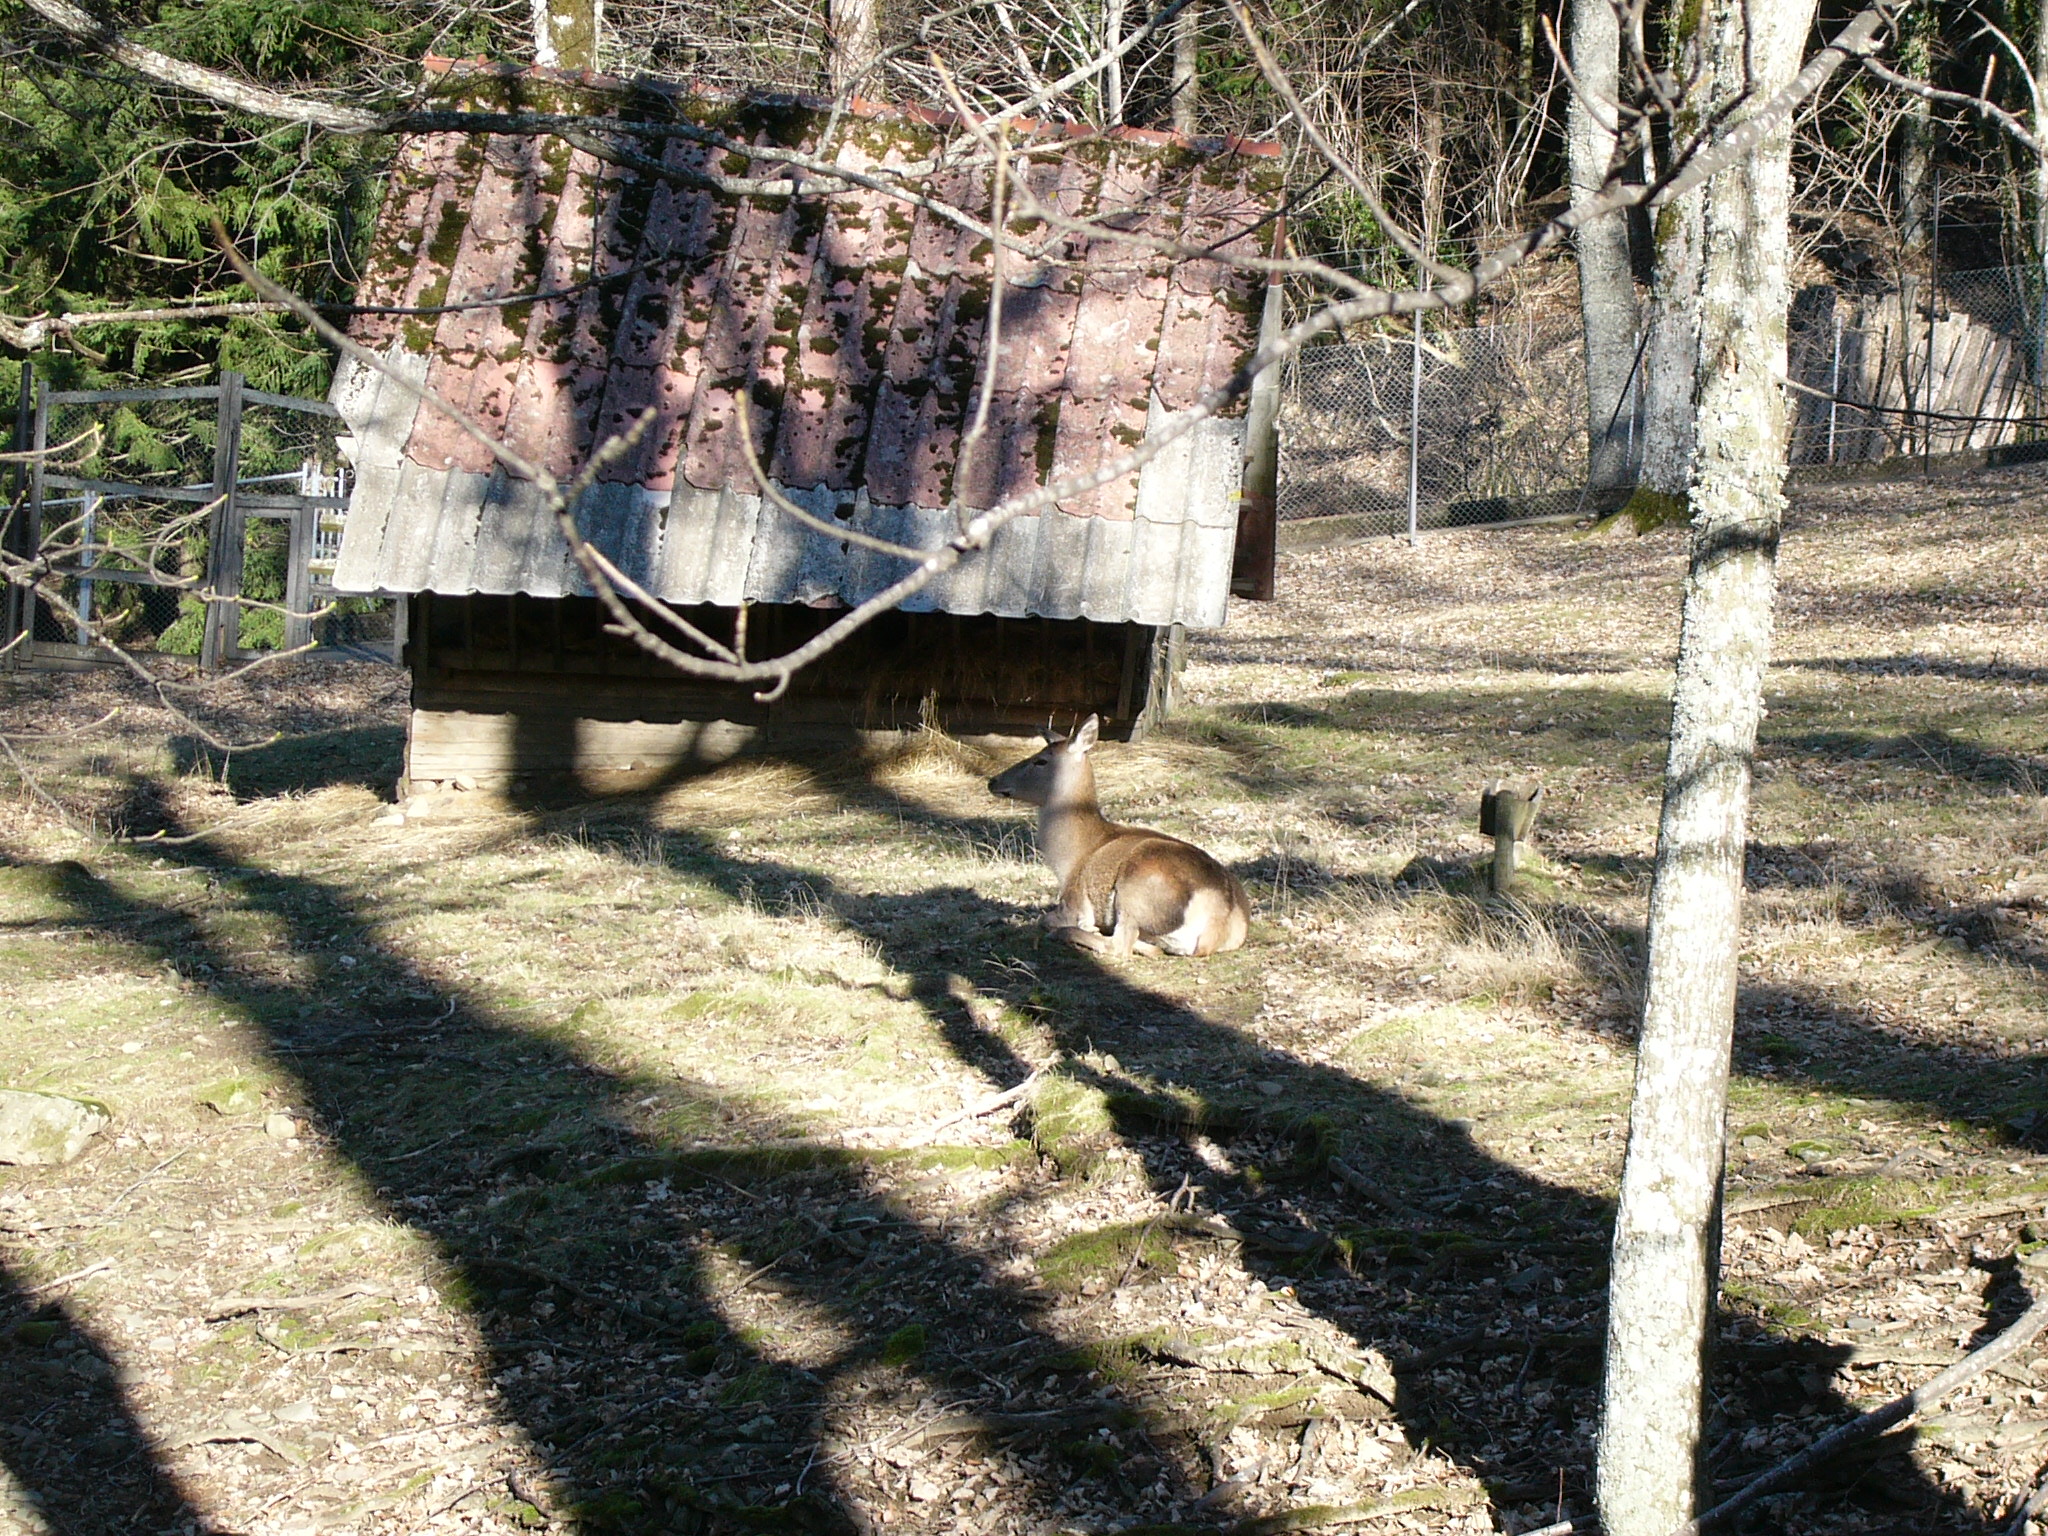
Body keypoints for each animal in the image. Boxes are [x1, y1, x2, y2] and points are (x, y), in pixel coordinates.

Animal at [988, 715, 1251, 957]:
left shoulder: (1074, 900)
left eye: (1041, 760)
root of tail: (1218, 924)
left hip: (1135, 891)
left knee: (1120, 946)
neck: (1070, 858)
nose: (993, 780)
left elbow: (1046, 919)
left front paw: (1077, 926)